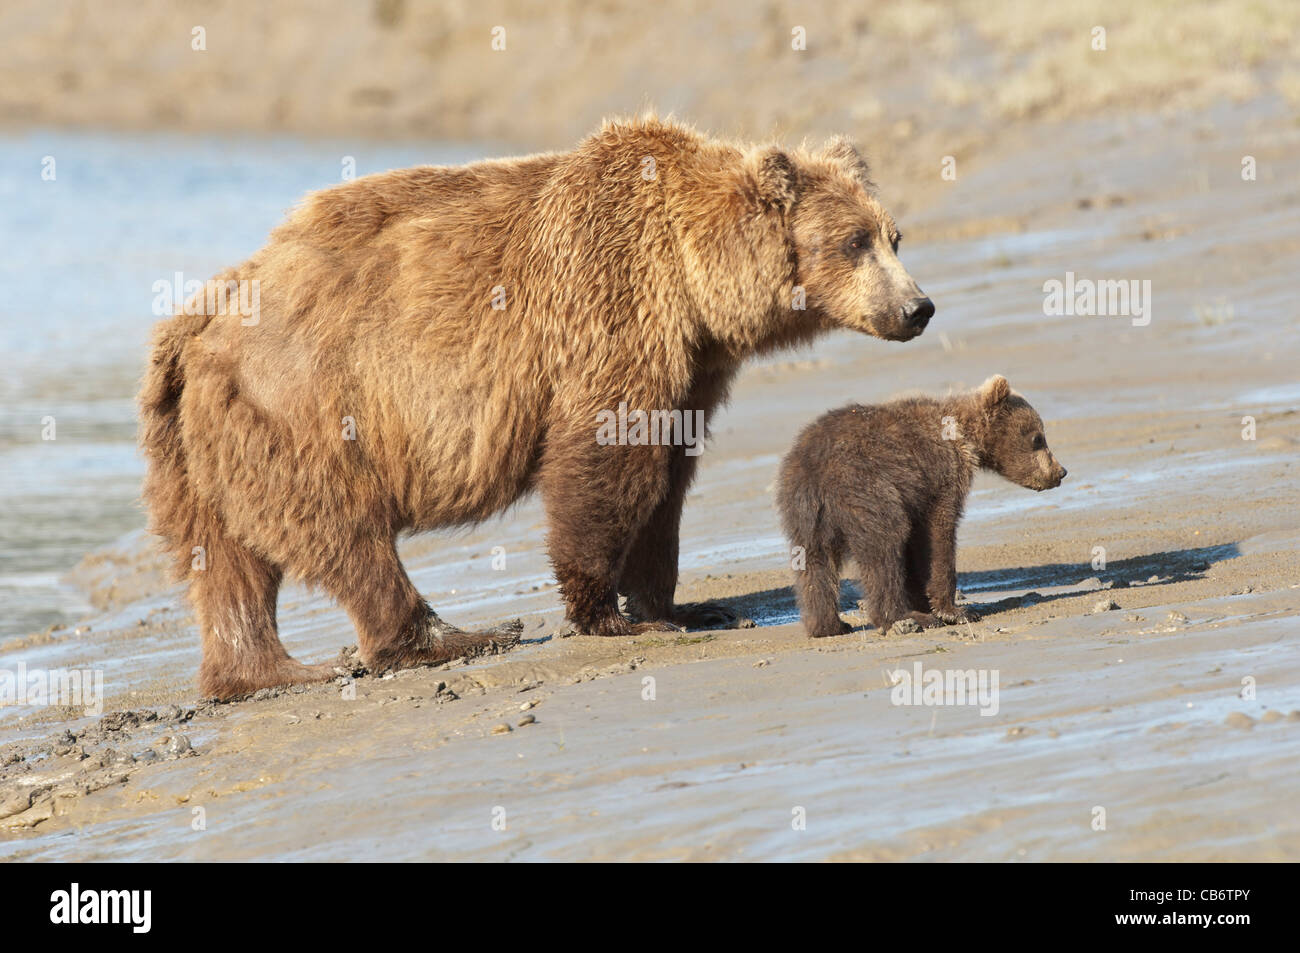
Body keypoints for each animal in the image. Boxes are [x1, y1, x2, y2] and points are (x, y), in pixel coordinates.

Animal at [138, 115, 936, 701]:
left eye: (894, 235)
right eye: (854, 241)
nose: (917, 307)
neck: (692, 277)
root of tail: (198, 323)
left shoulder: (692, 368)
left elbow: (667, 477)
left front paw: (683, 605)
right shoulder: (613, 311)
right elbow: (609, 460)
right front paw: (606, 612)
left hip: (200, 445)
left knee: (225, 562)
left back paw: (264, 670)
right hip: (308, 405)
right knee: (344, 527)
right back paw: (451, 637)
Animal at [776, 375, 1066, 638]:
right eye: (1038, 438)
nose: (1060, 472)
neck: (965, 435)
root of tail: (814, 469)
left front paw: (926, 602)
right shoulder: (940, 477)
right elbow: (937, 535)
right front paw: (954, 611)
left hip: (803, 513)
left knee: (814, 564)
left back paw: (829, 626)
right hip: (868, 489)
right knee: (883, 547)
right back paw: (903, 617)